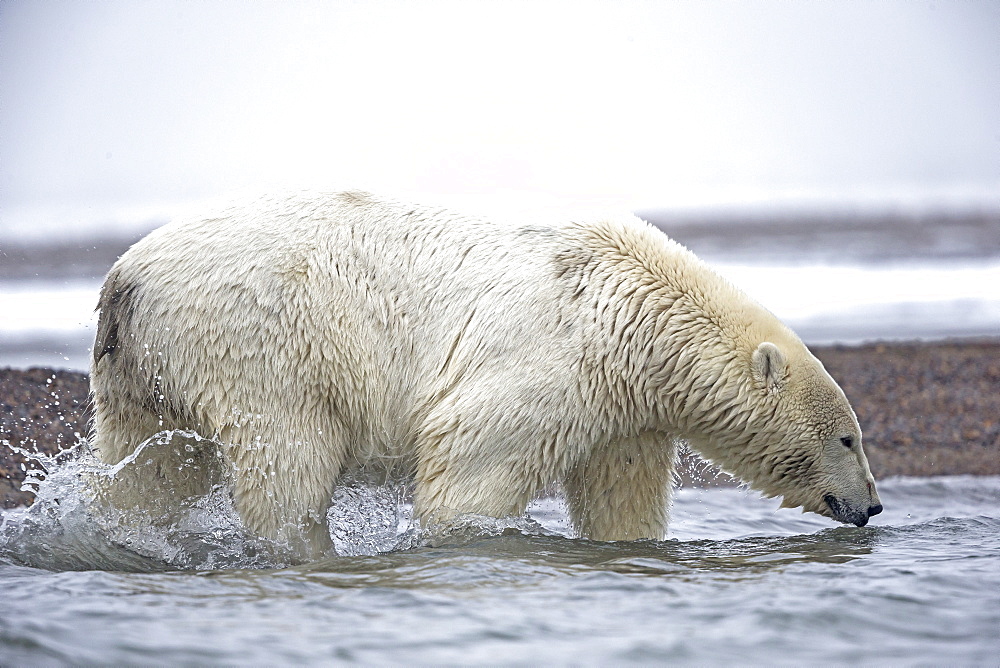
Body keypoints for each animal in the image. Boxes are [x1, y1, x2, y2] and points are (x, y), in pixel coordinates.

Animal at [88, 189, 884, 560]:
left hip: (146, 370)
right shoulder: (555, 357)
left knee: (150, 467)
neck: (634, 308)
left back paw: (127, 533)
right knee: (286, 463)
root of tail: (128, 279)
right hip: (264, 345)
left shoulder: (624, 409)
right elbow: (473, 459)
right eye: (849, 439)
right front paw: (473, 539)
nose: (872, 506)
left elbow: (618, 494)